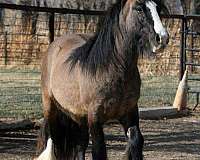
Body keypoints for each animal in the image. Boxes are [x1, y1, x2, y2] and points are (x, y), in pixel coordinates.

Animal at [37, 0, 169, 160]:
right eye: (139, 8)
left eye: (158, 8)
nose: (162, 38)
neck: (111, 69)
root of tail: (54, 46)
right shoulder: (95, 118)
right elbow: (99, 150)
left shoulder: (130, 113)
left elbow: (136, 140)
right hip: (50, 107)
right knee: (50, 137)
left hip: (79, 116)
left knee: (80, 144)